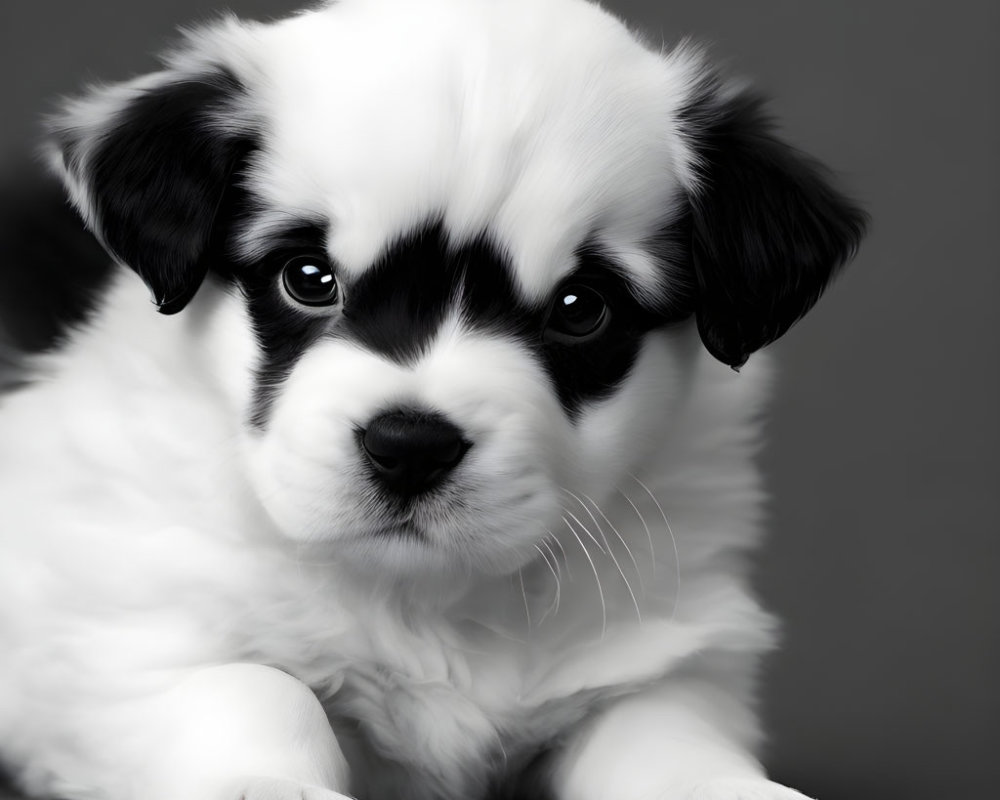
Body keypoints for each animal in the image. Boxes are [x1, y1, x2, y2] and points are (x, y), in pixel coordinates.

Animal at [0, 1, 864, 800]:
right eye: (308, 279)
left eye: (580, 309)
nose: (410, 448)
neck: (426, 596)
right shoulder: (127, 634)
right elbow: (255, 684)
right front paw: (268, 779)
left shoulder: (664, 649)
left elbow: (661, 732)